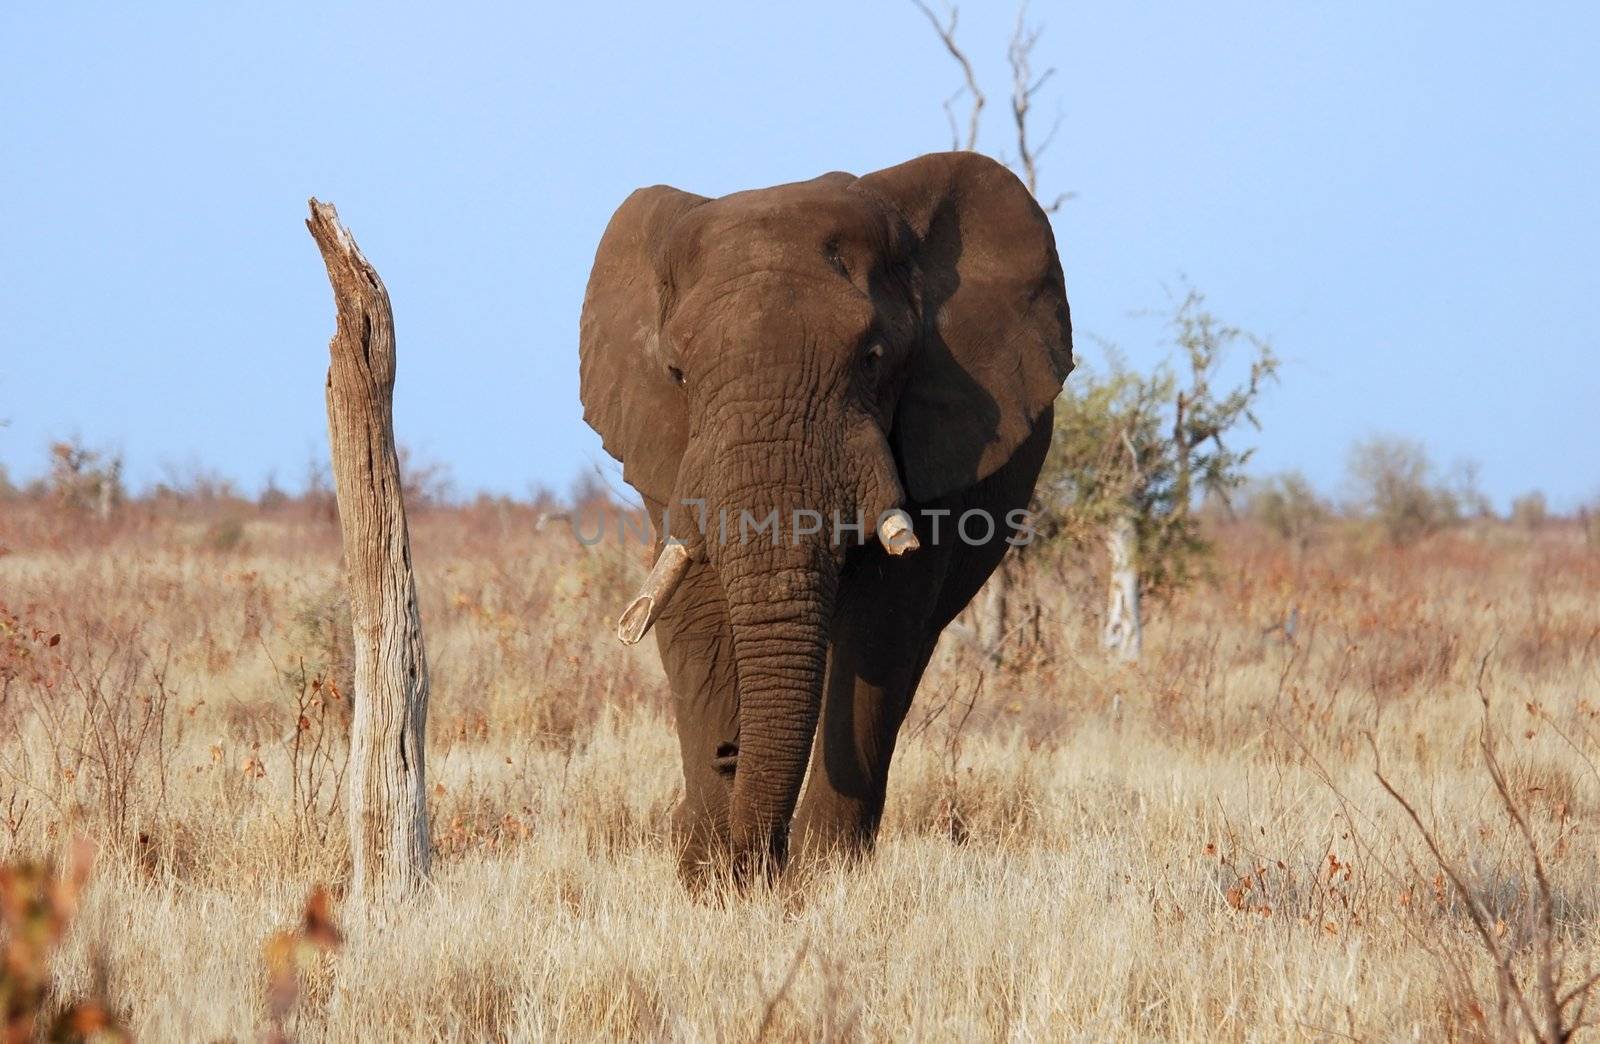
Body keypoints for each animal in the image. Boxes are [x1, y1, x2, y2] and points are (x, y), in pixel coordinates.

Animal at [579, 150, 1075, 883]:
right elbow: (694, 607)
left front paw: (824, 874)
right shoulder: (670, 452)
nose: (757, 864)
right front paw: (708, 874)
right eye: (678, 374)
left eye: (872, 360)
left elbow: (882, 619)